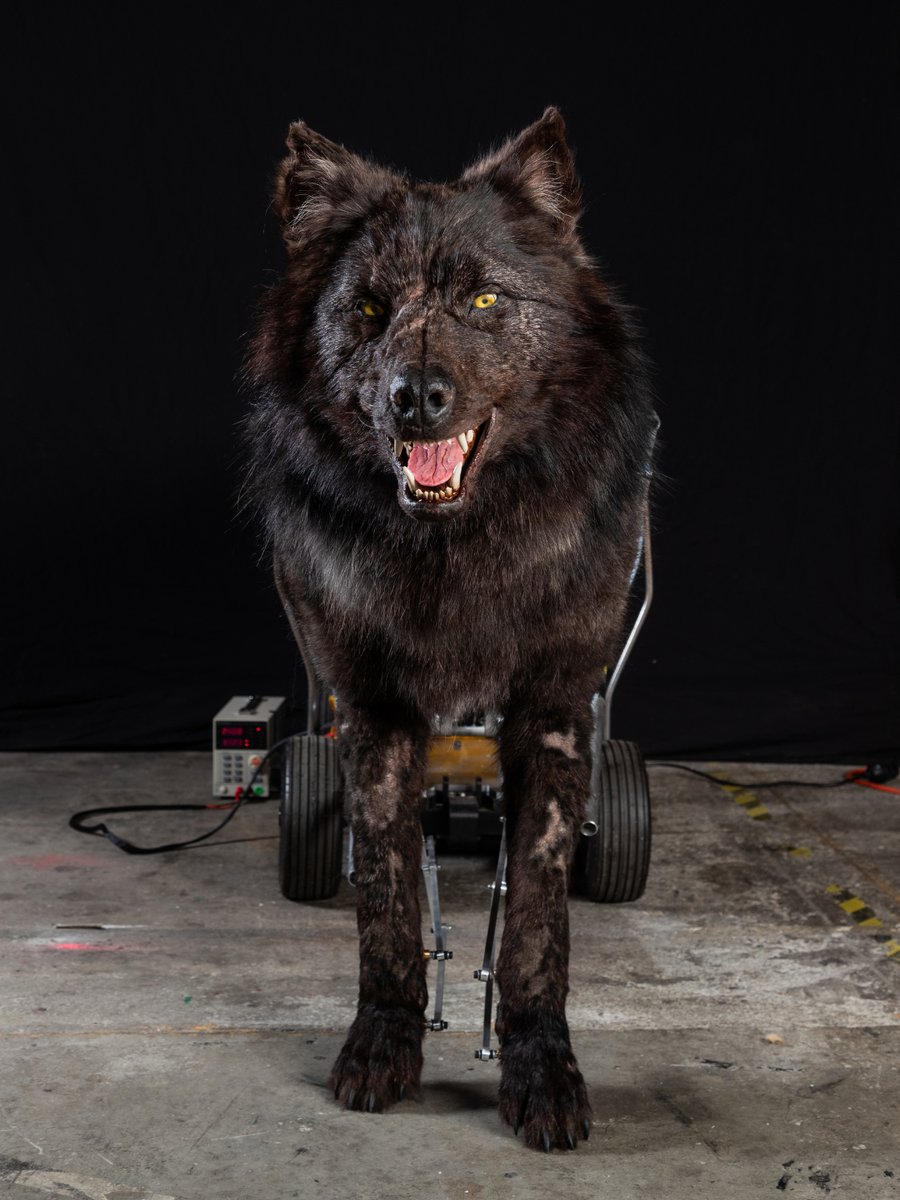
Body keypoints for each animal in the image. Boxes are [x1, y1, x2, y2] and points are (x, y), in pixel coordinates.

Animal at [244, 107, 657, 1151]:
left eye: (481, 298)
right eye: (367, 310)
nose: (416, 396)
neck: (453, 549)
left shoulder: (556, 712)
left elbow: (535, 919)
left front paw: (541, 1067)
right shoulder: (373, 711)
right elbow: (390, 896)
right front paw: (383, 1042)